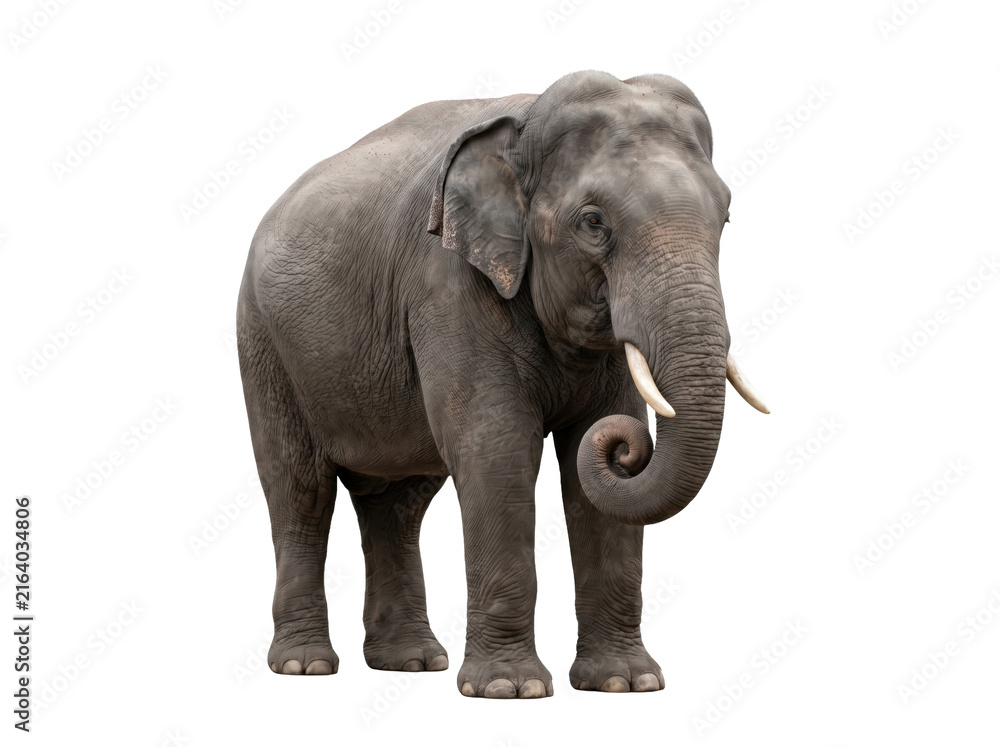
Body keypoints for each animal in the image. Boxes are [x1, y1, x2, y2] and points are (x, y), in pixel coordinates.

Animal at [237, 70, 768, 699]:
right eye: (594, 222)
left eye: (726, 216)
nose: (627, 450)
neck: (523, 125)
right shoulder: (447, 285)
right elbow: (497, 450)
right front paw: (510, 690)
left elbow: (585, 457)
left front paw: (625, 683)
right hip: (264, 344)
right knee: (300, 489)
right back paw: (307, 666)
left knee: (399, 502)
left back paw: (411, 663)